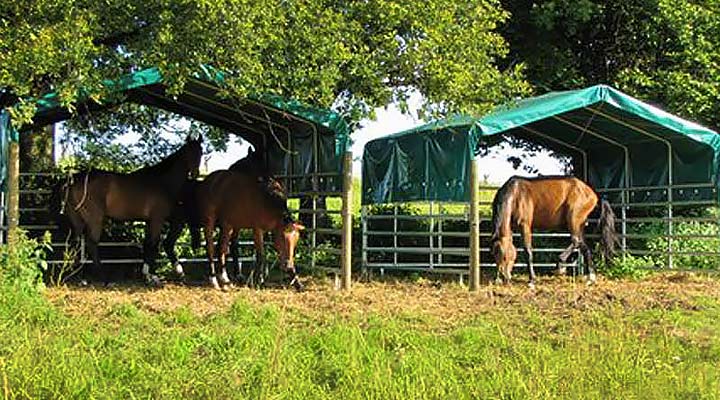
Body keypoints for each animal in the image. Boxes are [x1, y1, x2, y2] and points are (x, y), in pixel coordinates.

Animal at [53, 136, 202, 286]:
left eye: (200, 152)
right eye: (188, 152)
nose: (195, 174)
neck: (162, 182)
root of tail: (72, 180)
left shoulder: (149, 221)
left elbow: (147, 244)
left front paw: (147, 275)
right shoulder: (157, 220)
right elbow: (153, 244)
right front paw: (151, 277)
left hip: (77, 221)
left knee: (75, 243)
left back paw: (78, 277)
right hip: (95, 220)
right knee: (91, 243)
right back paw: (103, 279)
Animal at [490, 175, 620, 288]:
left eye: (504, 256)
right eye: (494, 254)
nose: (503, 277)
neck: (516, 195)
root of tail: (593, 194)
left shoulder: (525, 226)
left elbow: (528, 251)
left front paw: (532, 280)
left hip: (573, 221)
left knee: (576, 241)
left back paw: (561, 265)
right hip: (579, 225)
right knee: (584, 247)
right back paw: (590, 278)